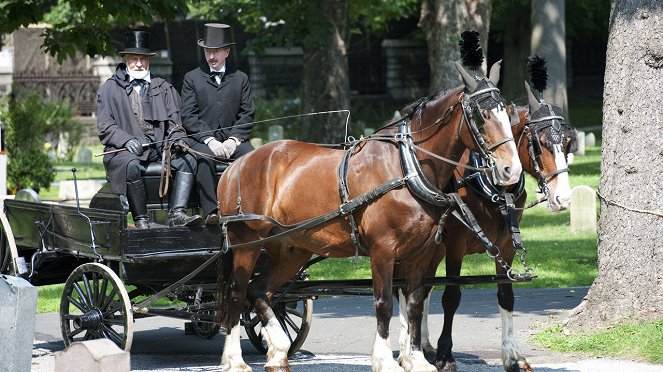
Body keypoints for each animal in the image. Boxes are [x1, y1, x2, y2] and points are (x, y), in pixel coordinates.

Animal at [215, 61, 520, 372]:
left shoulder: (419, 254)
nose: (511, 170)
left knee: (259, 292)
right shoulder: (383, 250)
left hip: (291, 249)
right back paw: (235, 359)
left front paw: (417, 359)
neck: (406, 167)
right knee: (238, 294)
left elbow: (414, 304)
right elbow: (384, 304)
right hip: (246, 244)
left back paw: (278, 350)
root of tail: (236, 164)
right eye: (481, 116)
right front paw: (385, 360)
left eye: (508, 113)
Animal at [396, 82, 580, 372]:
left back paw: (422, 344)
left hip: (432, 249)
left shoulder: (505, 245)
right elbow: (451, 296)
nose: (563, 199)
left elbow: (506, 294)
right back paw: (407, 349)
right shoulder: (456, 245)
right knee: (404, 289)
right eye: (540, 144)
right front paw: (446, 355)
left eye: (567, 143)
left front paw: (512, 355)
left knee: (422, 289)